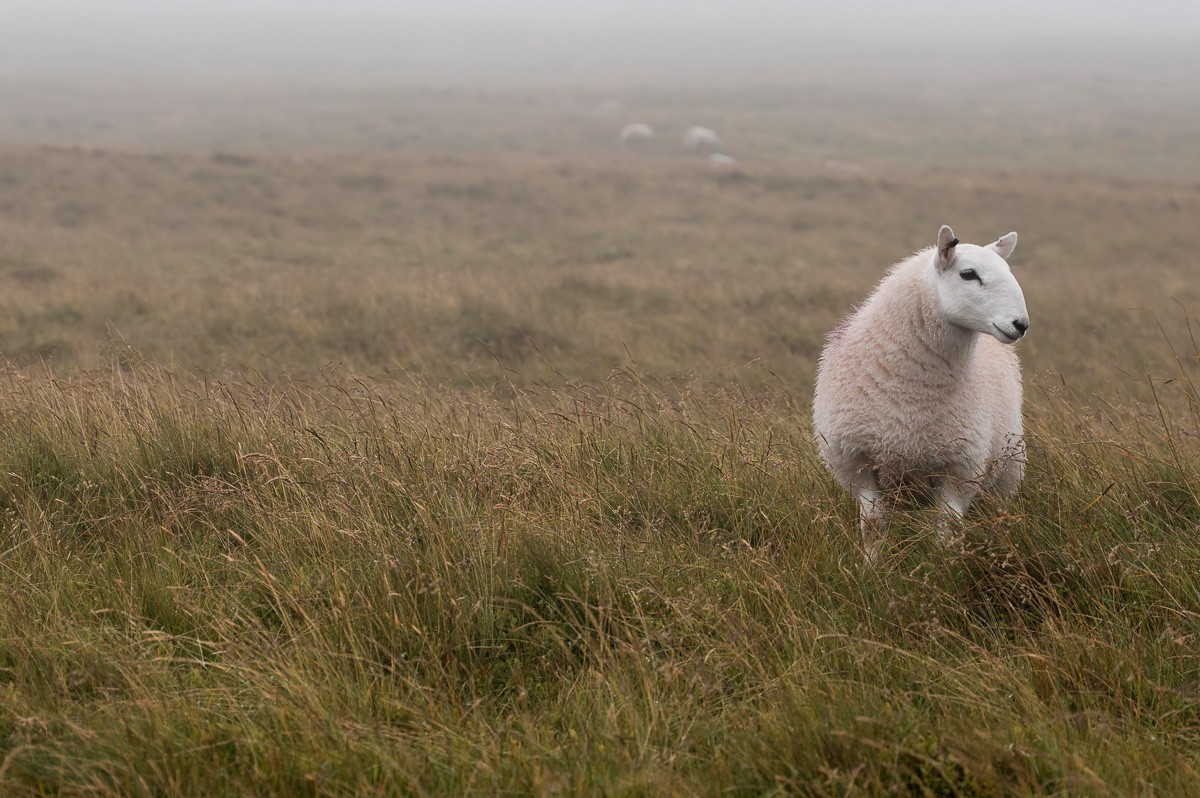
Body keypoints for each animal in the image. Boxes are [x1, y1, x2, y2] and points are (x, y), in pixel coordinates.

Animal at [816, 225, 1032, 559]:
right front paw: (873, 566)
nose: (1020, 324)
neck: (913, 396)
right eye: (968, 274)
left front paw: (944, 564)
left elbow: (946, 527)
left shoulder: (961, 466)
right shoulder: (854, 460)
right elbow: (873, 524)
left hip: (1007, 470)